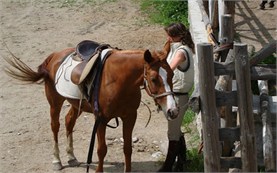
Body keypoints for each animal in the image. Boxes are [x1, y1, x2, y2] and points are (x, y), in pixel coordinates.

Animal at [4, 41, 179, 172]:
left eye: (172, 74)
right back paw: (57, 161)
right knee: (55, 126)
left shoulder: (130, 117)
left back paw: (71, 157)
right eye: (154, 79)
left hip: (76, 105)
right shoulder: (101, 119)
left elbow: (127, 148)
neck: (119, 80)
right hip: (55, 102)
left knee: (69, 121)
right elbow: (101, 149)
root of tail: (53, 56)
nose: (173, 111)